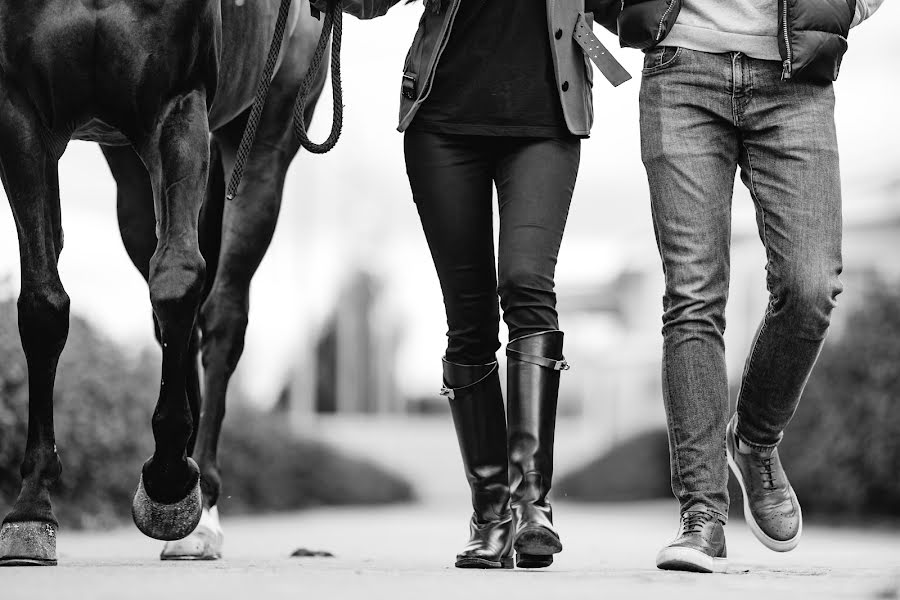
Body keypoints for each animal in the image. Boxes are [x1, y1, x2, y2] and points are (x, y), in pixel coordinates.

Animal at [0, 0, 328, 568]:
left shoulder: (177, 107)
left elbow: (177, 279)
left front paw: (170, 485)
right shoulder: (20, 110)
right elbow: (42, 305)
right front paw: (30, 509)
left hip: (266, 137)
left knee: (222, 316)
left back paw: (204, 508)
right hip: (131, 176)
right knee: (178, 321)